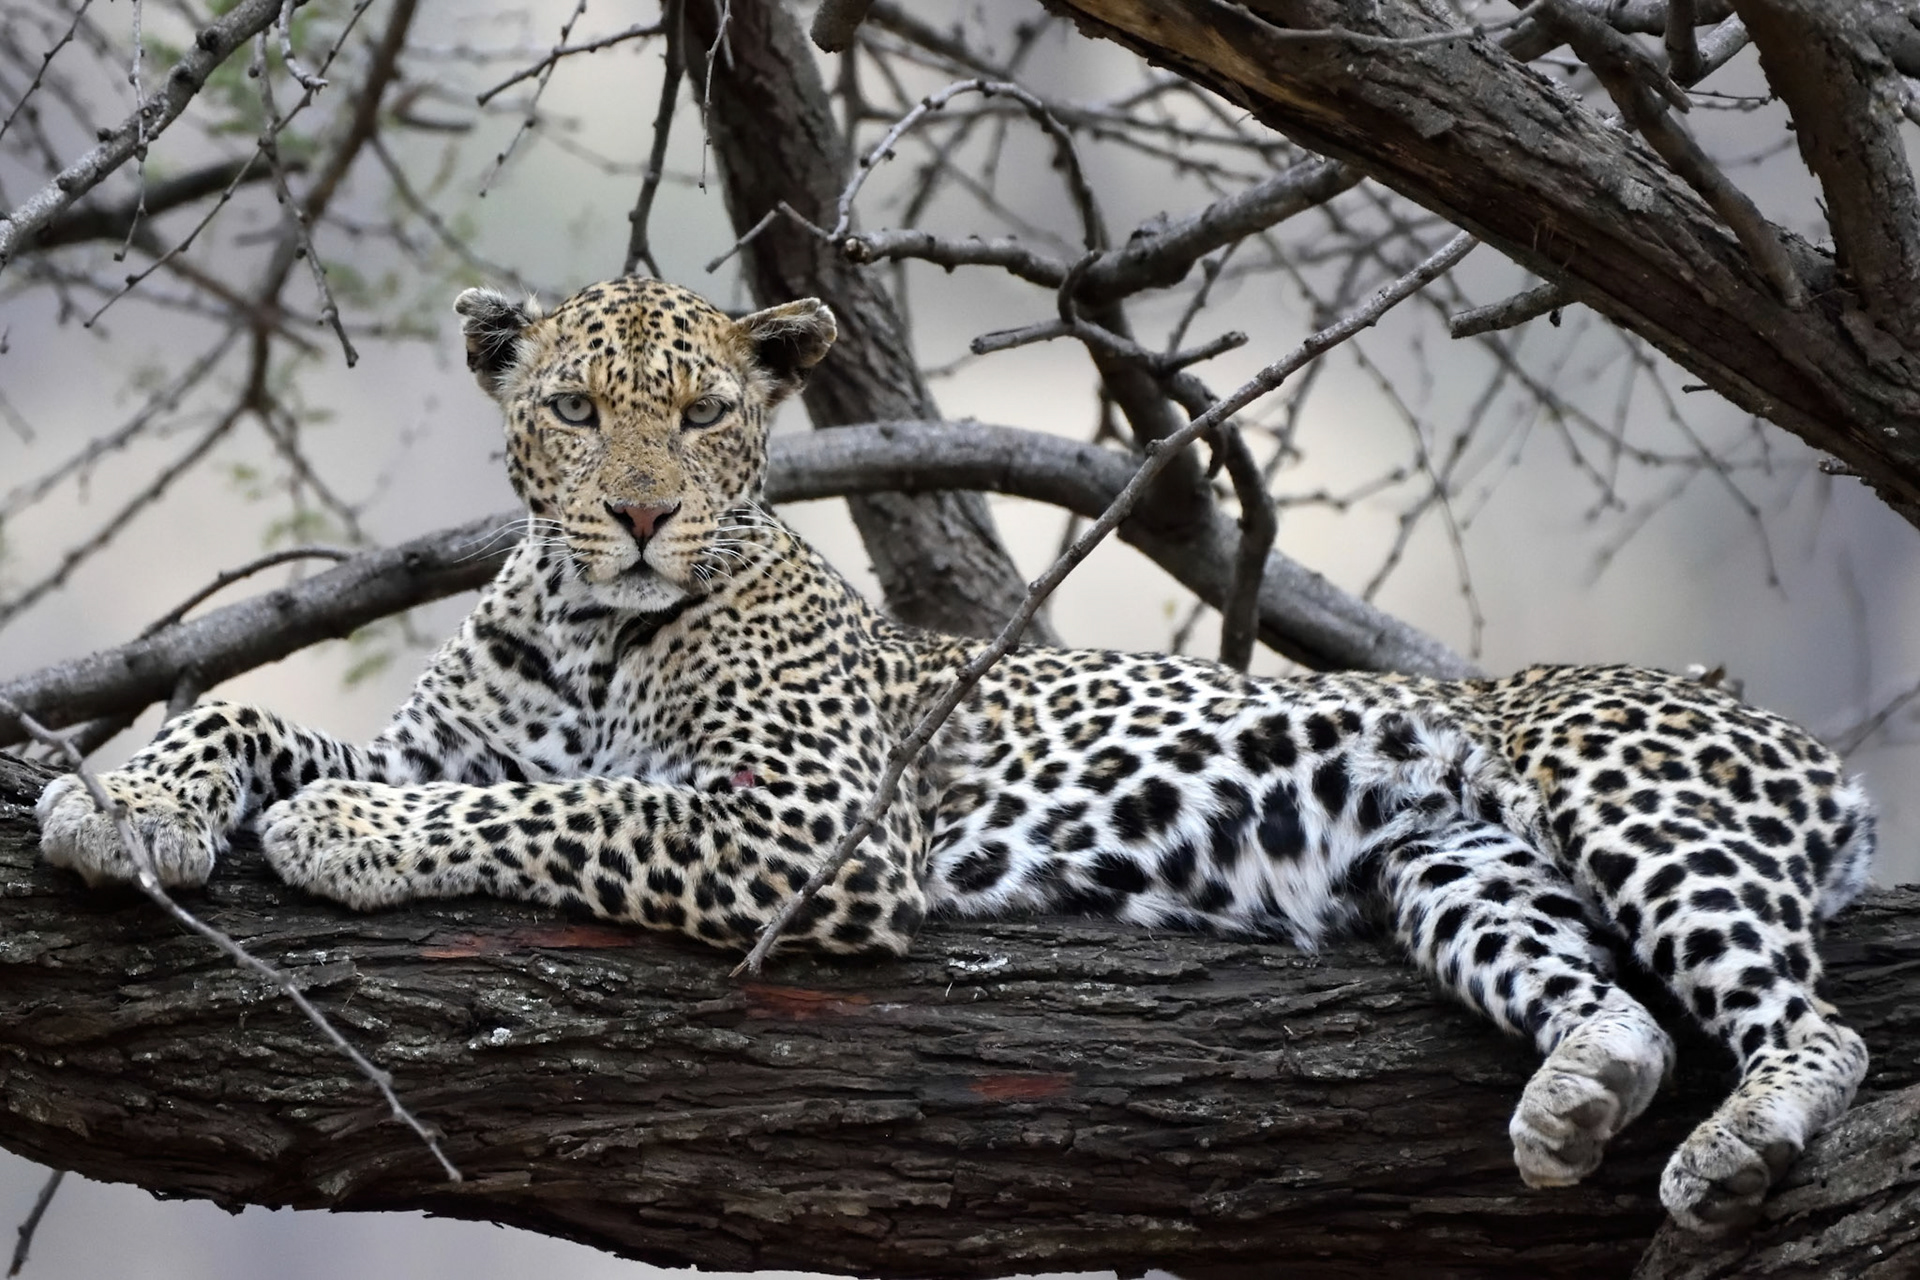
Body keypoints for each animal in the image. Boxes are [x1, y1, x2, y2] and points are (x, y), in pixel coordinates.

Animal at [37, 275, 1876, 1235]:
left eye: (702, 416)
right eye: (572, 410)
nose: (635, 515)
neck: (582, 618)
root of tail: (1798, 741)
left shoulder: (813, 827)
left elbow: (571, 804)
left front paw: (346, 828)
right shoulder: (477, 731)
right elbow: (260, 716)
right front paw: (121, 797)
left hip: (1615, 782)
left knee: (1817, 1029)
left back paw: (1735, 1151)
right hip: (1455, 869)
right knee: (1623, 1013)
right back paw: (1578, 1104)